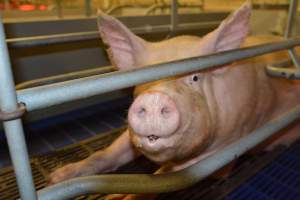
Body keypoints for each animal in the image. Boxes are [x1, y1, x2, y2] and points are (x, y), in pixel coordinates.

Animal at [48, 1, 300, 200]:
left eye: (195, 77)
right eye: (144, 80)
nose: (154, 97)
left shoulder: (229, 150)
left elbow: (167, 178)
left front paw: (117, 196)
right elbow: (108, 153)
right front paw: (57, 178)